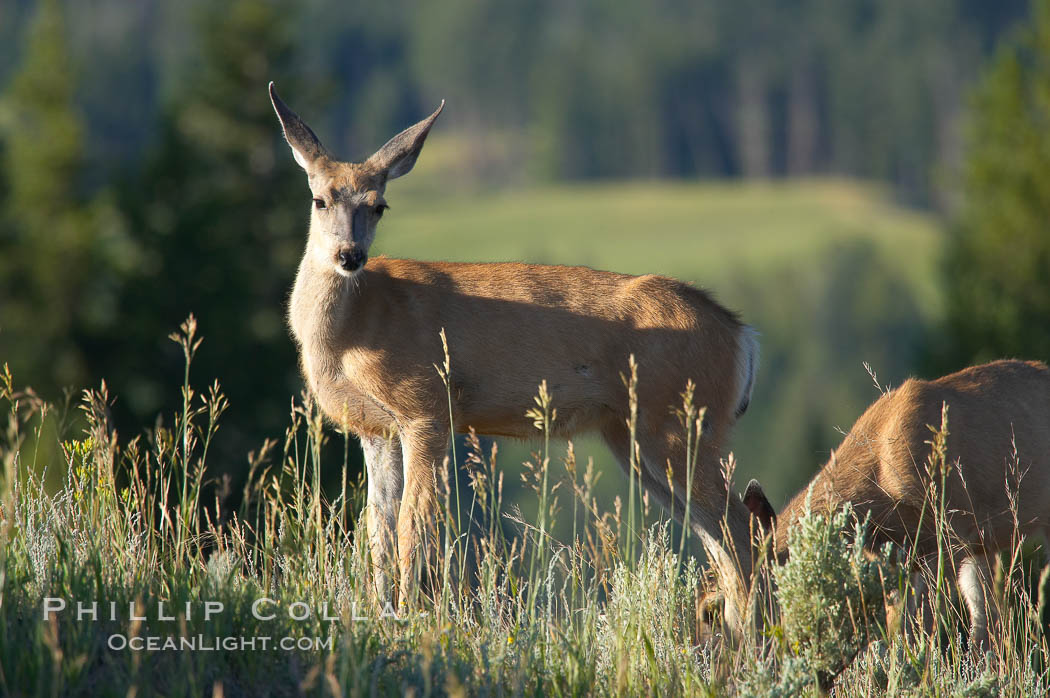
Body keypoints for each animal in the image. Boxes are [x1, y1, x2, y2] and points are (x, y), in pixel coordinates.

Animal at [268, 84, 764, 612]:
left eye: (379, 205)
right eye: (319, 200)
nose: (350, 255)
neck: (351, 334)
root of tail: (742, 334)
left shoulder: (427, 405)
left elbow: (412, 528)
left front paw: (411, 615)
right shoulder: (375, 429)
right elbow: (377, 530)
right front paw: (382, 611)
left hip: (679, 420)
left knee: (741, 531)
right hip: (634, 434)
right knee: (721, 540)